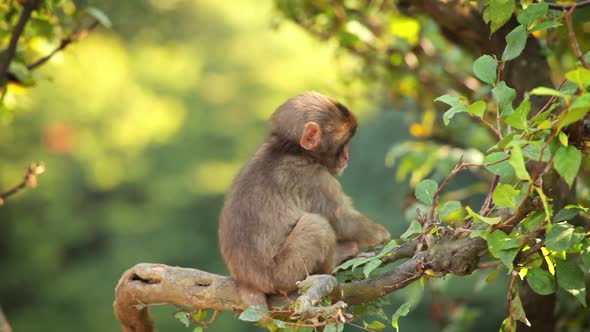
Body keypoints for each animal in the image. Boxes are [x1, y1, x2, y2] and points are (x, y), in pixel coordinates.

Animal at [220, 92, 390, 308]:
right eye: (343, 144)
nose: (347, 157)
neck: (292, 150)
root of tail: (247, 281)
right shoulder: (316, 178)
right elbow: (342, 220)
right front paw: (384, 237)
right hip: (284, 272)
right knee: (317, 224)